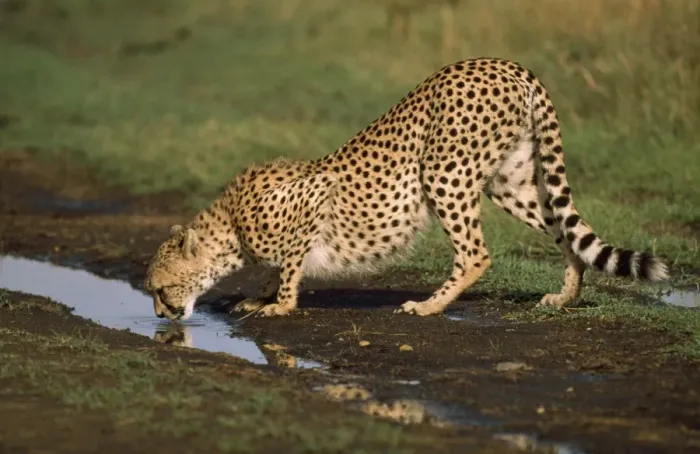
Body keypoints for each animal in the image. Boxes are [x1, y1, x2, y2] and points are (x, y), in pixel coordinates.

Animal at [144, 57, 668, 321]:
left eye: (160, 288)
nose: (162, 316)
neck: (230, 226)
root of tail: (507, 64)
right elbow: (278, 268)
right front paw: (261, 297)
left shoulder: (313, 197)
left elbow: (291, 266)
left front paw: (280, 305)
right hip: (508, 181)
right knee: (564, 230)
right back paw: (566, 296)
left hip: (442, 172)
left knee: (476, 253)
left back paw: (429, 305)